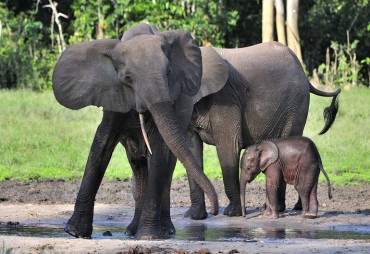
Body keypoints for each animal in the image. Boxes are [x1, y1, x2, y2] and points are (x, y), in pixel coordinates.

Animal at [52, 22, 223, 239]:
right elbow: (101, 145)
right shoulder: (113, 97)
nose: (215, 210)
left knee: (165, 169)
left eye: (169, 72)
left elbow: (157, 151)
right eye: (128, 79)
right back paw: (131, 231)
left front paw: (149, 237)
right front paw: (75, 232)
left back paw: (164, 230)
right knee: (139, 168)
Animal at [185, 42, 342, 219]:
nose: (214, 211)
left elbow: (229, 146)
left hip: (295, 105)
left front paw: (232, 214)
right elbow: (192, 148)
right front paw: (193, 216)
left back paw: (288, 208)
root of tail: (305, 76)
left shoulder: (225, 98)